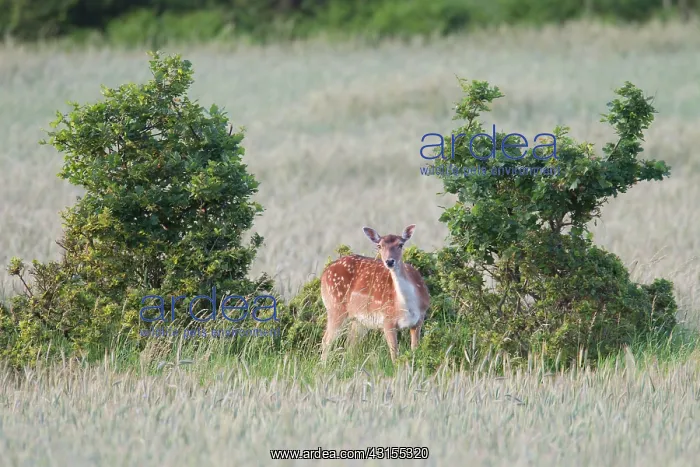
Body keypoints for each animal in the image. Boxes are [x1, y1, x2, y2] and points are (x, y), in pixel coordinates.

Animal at [320, 224, 430, 363]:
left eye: (400, 244)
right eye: (379, 246)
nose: (389, 261)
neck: (406, 305)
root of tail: (324, 273)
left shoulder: (419, 319)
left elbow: (415, 350)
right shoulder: (387, 319)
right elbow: (394, 354)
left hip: (358, 319)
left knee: (350, 344)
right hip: (335, 307)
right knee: (326, 340)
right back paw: (323, 366)